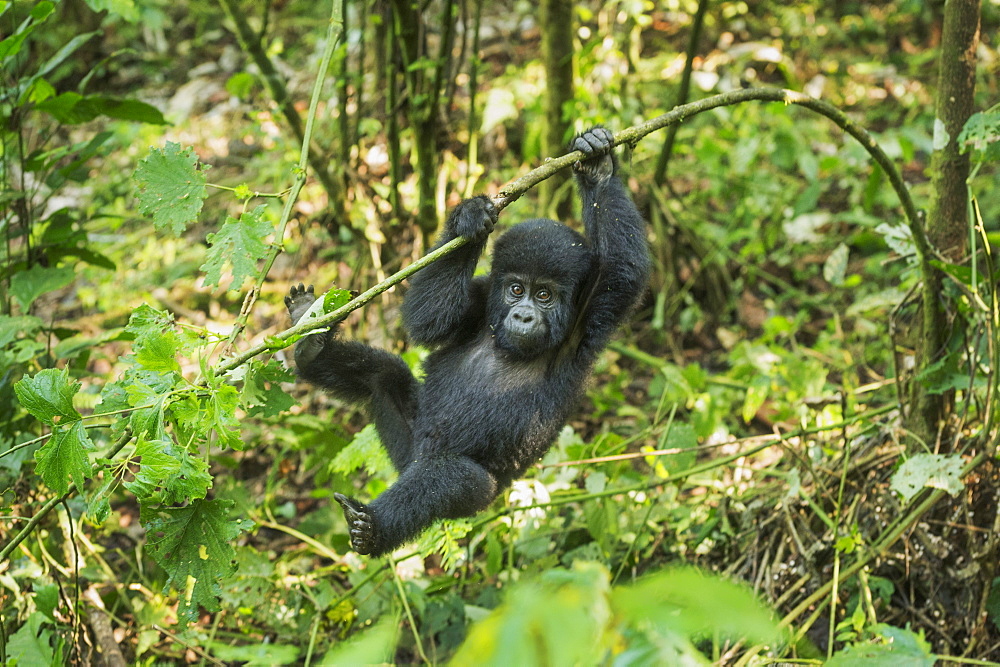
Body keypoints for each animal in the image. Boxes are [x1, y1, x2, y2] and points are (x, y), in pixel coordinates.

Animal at [286, 126, 652, 560]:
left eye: (544, 295)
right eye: (515, 289)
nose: (523, 316)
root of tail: (410, 462)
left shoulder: (594, 310)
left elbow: (624, 272)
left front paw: (599, 172)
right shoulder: (481, 295)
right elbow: (429, 321)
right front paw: (470, 218)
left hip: (478, 495)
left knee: (449, 478)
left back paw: (373, 527)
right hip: (407, 444)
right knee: (382, 374)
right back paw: (311, 343)